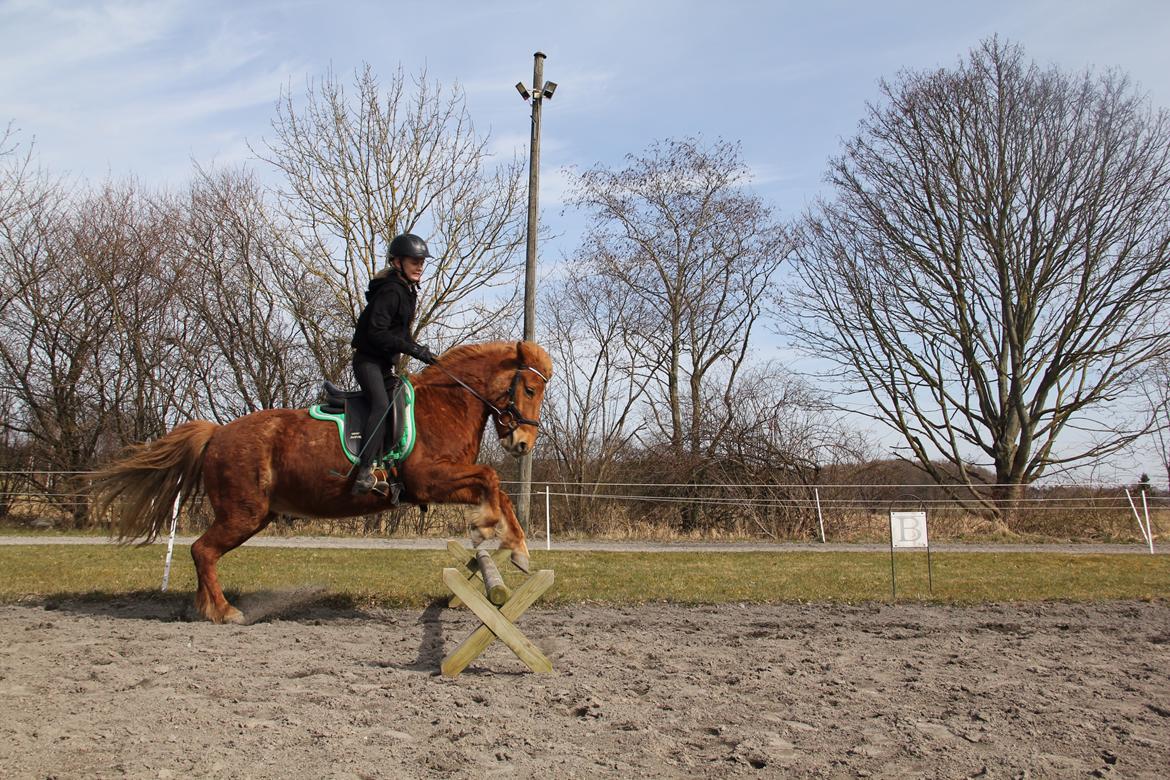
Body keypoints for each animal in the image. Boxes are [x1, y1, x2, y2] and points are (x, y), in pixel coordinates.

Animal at [86, 339, 552, 626]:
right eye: (529, 389)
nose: (523, 444)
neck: (448, 402)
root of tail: (217, 433)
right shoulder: (429, 480)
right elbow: (492, 478)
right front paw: (496, 533)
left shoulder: (443, 482)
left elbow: (495, 487)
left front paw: (513, 545)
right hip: (243, 514)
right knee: (203, 551)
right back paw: (224, 611)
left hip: (253, 516)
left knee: (205, 553)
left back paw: (209, 609)